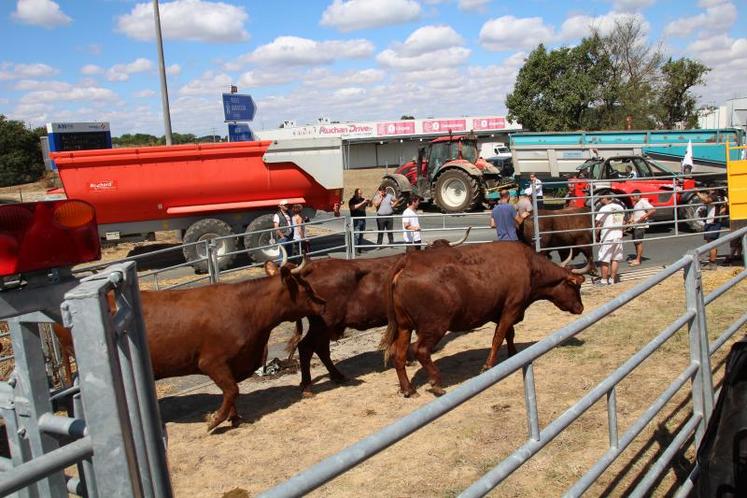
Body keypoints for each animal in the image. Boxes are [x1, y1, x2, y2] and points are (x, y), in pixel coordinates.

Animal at [49, 247, 324, 430]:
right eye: (305, 288)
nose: (322, 303)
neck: (247, 309)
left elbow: (232, 392)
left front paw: (234, 418)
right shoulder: (212, 362)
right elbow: (232, 390)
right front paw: (215, 420)